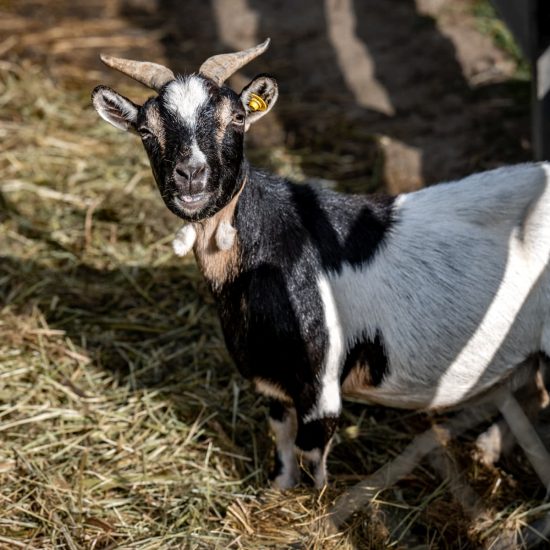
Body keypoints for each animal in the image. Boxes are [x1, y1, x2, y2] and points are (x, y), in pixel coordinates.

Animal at [92, 40, 550, 492]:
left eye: (237, 118)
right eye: (146, 130)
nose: (191, 175)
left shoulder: (320, 382)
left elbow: (312, 449)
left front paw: (317, 502)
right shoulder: (268, 375)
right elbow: (281, 436)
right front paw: (279, 488)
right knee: (530, 395)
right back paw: (488, 449)